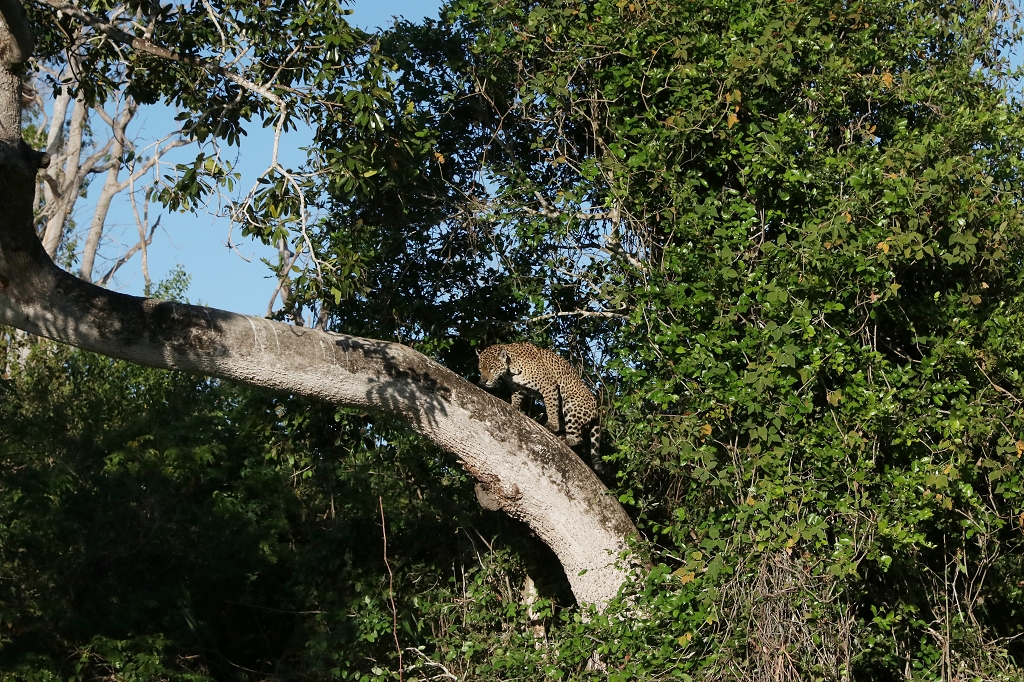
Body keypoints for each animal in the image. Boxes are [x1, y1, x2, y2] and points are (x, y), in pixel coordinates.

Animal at [478, 342, 602, 471]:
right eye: (480, 368)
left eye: (491, 368)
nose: (483, 381)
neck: (510, 369)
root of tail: (597, 410)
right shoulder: (517, 388)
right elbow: (516, 397)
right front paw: (513, 406)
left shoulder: (549, 385)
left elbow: (551, 406)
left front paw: (552, 424)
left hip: (570, 403)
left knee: (578, 439)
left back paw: (566, 439)